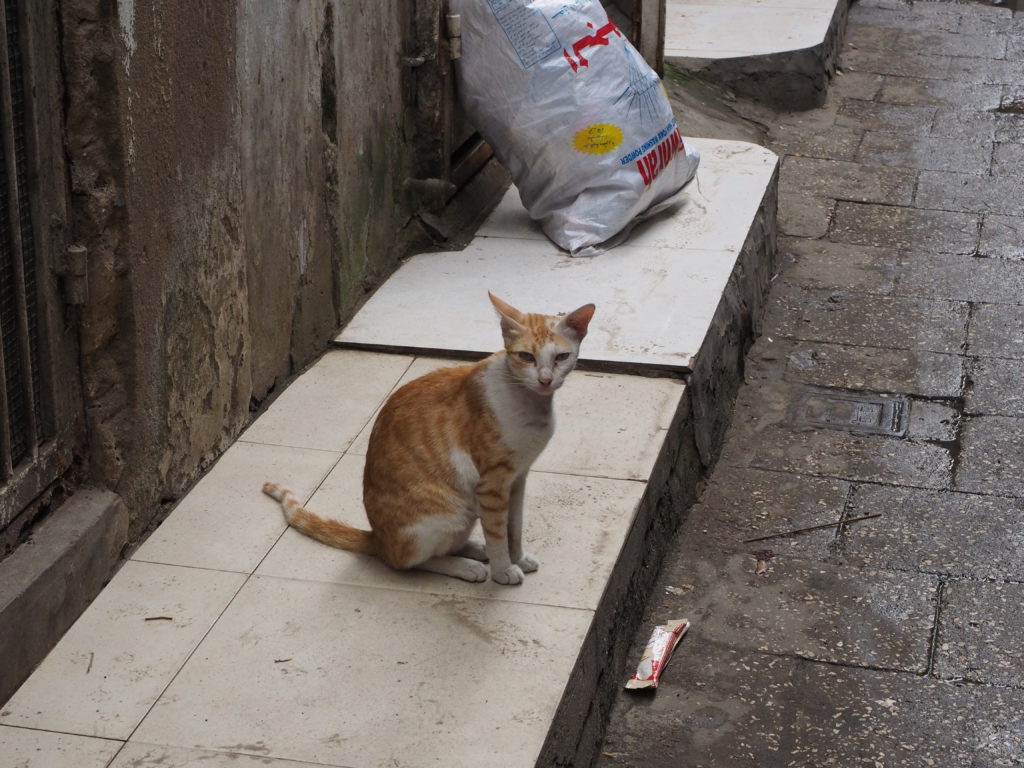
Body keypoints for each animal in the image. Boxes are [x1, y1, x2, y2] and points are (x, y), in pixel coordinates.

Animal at [264, 292, 598, 581]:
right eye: (526, 356)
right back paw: (467, 566)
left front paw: (517, 556)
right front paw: (504, 570)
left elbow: (512, 528)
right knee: (410, 561)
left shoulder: (518, 478)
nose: (545, 379)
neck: (530, 404)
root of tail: (378, 538)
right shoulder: (493, 484)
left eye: (561, 357)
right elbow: (497, 531)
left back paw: (474, 550)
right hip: (451, 512)